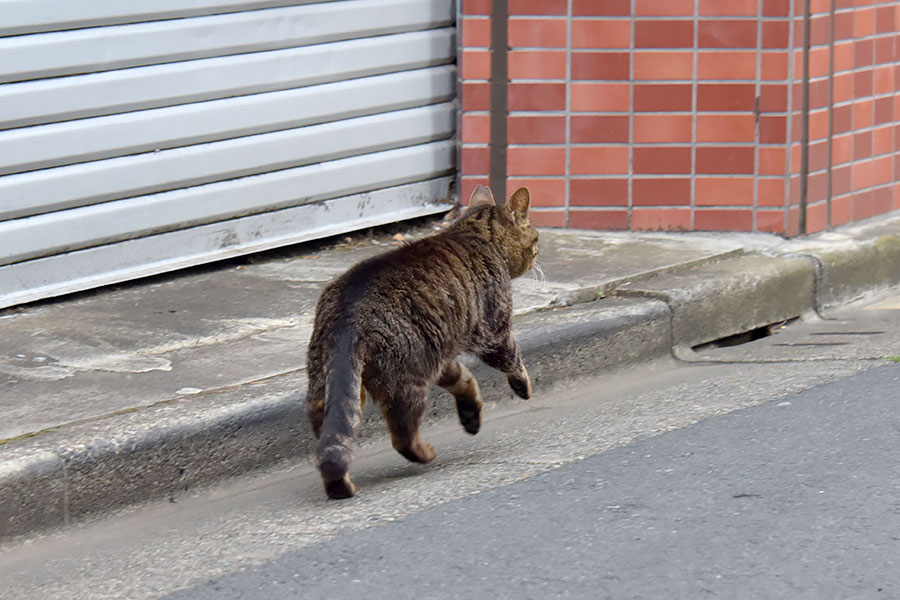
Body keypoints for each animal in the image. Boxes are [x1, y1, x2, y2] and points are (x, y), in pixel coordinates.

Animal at [306, 185, 536, 500]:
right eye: (536, 239)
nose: (538, 254)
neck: (476, 234)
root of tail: (346, 310)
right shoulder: (493, 332)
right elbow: (513, 360)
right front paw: (523, 387)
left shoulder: (441, 357)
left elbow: (464, 380)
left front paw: (471, 415)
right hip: (406, 383)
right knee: (402, 437)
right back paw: (424, 454)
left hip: (328, 384)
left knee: (330, 437)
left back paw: (339, 483)